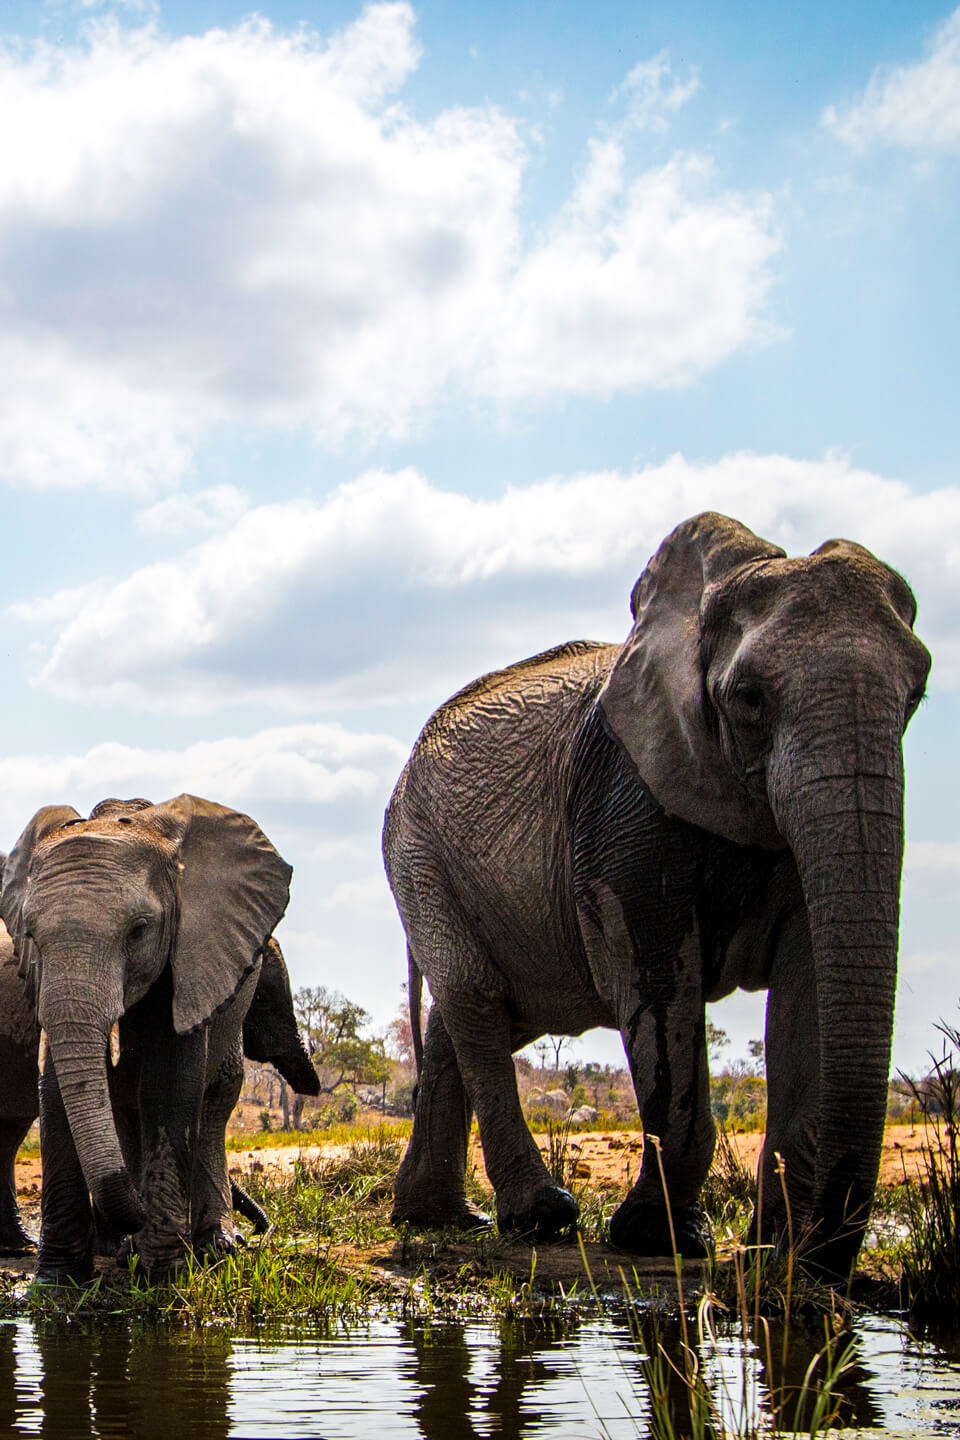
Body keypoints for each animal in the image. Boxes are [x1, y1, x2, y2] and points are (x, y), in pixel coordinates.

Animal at [383, 512, 930, 1278]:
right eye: (749, 697)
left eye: (916, 697)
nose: (822, 1258)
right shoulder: (625, 798)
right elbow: (654, 980)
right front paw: (659, 1239)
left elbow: (812, 981)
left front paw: (772, 1255)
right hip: (418, 852)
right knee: (477, 997)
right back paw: (540, 1218)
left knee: (476, 1015)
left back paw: (439, 1218)